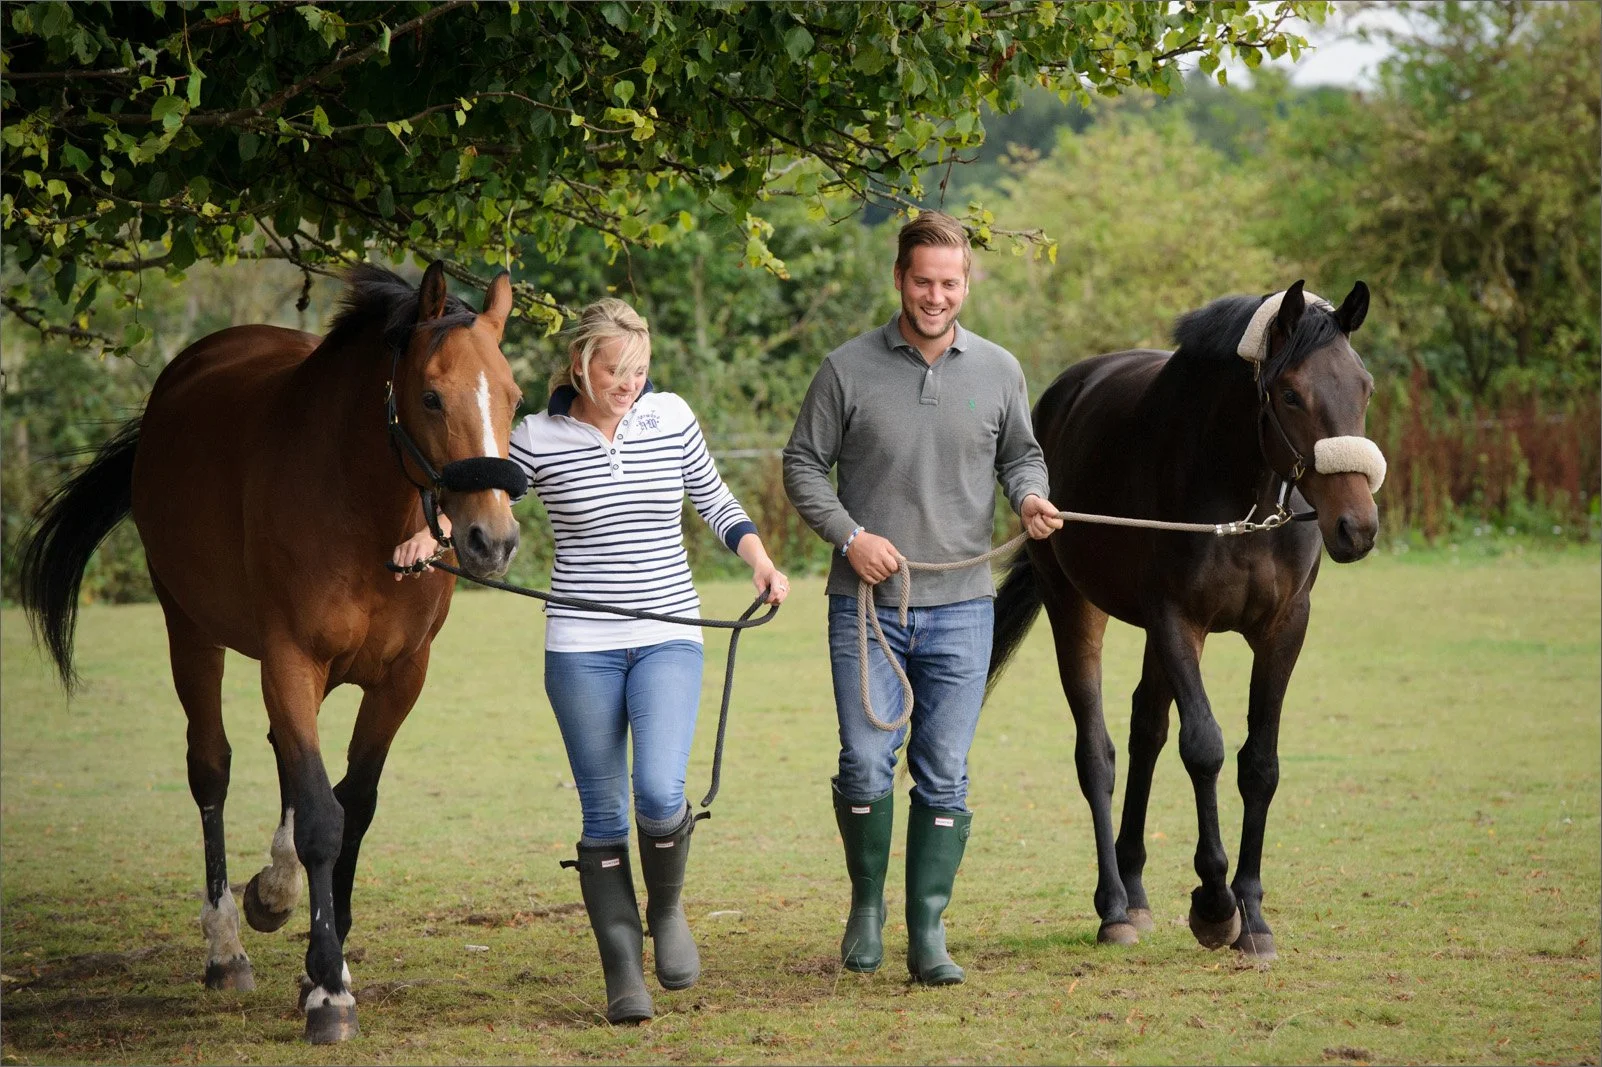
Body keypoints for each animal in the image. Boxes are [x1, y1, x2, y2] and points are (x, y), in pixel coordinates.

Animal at [16, 262, 527, 1042]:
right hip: (190, 629)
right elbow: (322, 817)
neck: (362, 508)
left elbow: (354, 806)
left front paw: (323, 954)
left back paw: (275, 892)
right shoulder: (291, 659)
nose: (491, 540)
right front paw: (328, 991)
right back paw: (226, 945)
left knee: (284, 757)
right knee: (213, 769)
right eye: (432, 396)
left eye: (514, 398)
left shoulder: (400, 680)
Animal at [987, 280, 1384, 960]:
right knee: (1097, 754)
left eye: (1363, 387)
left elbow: (1260, 763)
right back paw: (1115, 907)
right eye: (1290, 394)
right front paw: (1215, 904)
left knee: (1145, 731)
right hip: (1075, 605)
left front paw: (1253, 915)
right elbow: (1204, 749)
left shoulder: (1284, 628)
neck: (1240, 494)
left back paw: (1136, 887)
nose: (1356, 527)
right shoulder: (1178, 620)